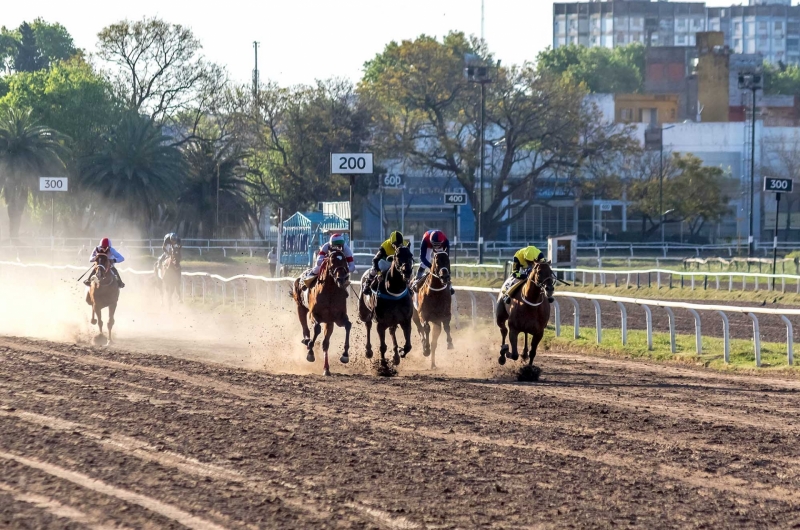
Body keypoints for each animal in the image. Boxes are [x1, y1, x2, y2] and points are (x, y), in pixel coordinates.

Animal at [290, 248, 348, 376]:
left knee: (325, 344)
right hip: (300, 307)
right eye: (332, 261)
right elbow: (316, 329)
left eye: (345, 260)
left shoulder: (337, 317)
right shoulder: (314, 314)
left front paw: (345, 355)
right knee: (306, 328)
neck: (329, 291)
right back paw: (307, 341)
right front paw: (310, 353)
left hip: (329, 322)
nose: (341, 279)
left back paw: (326, 369)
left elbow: (348, 326)